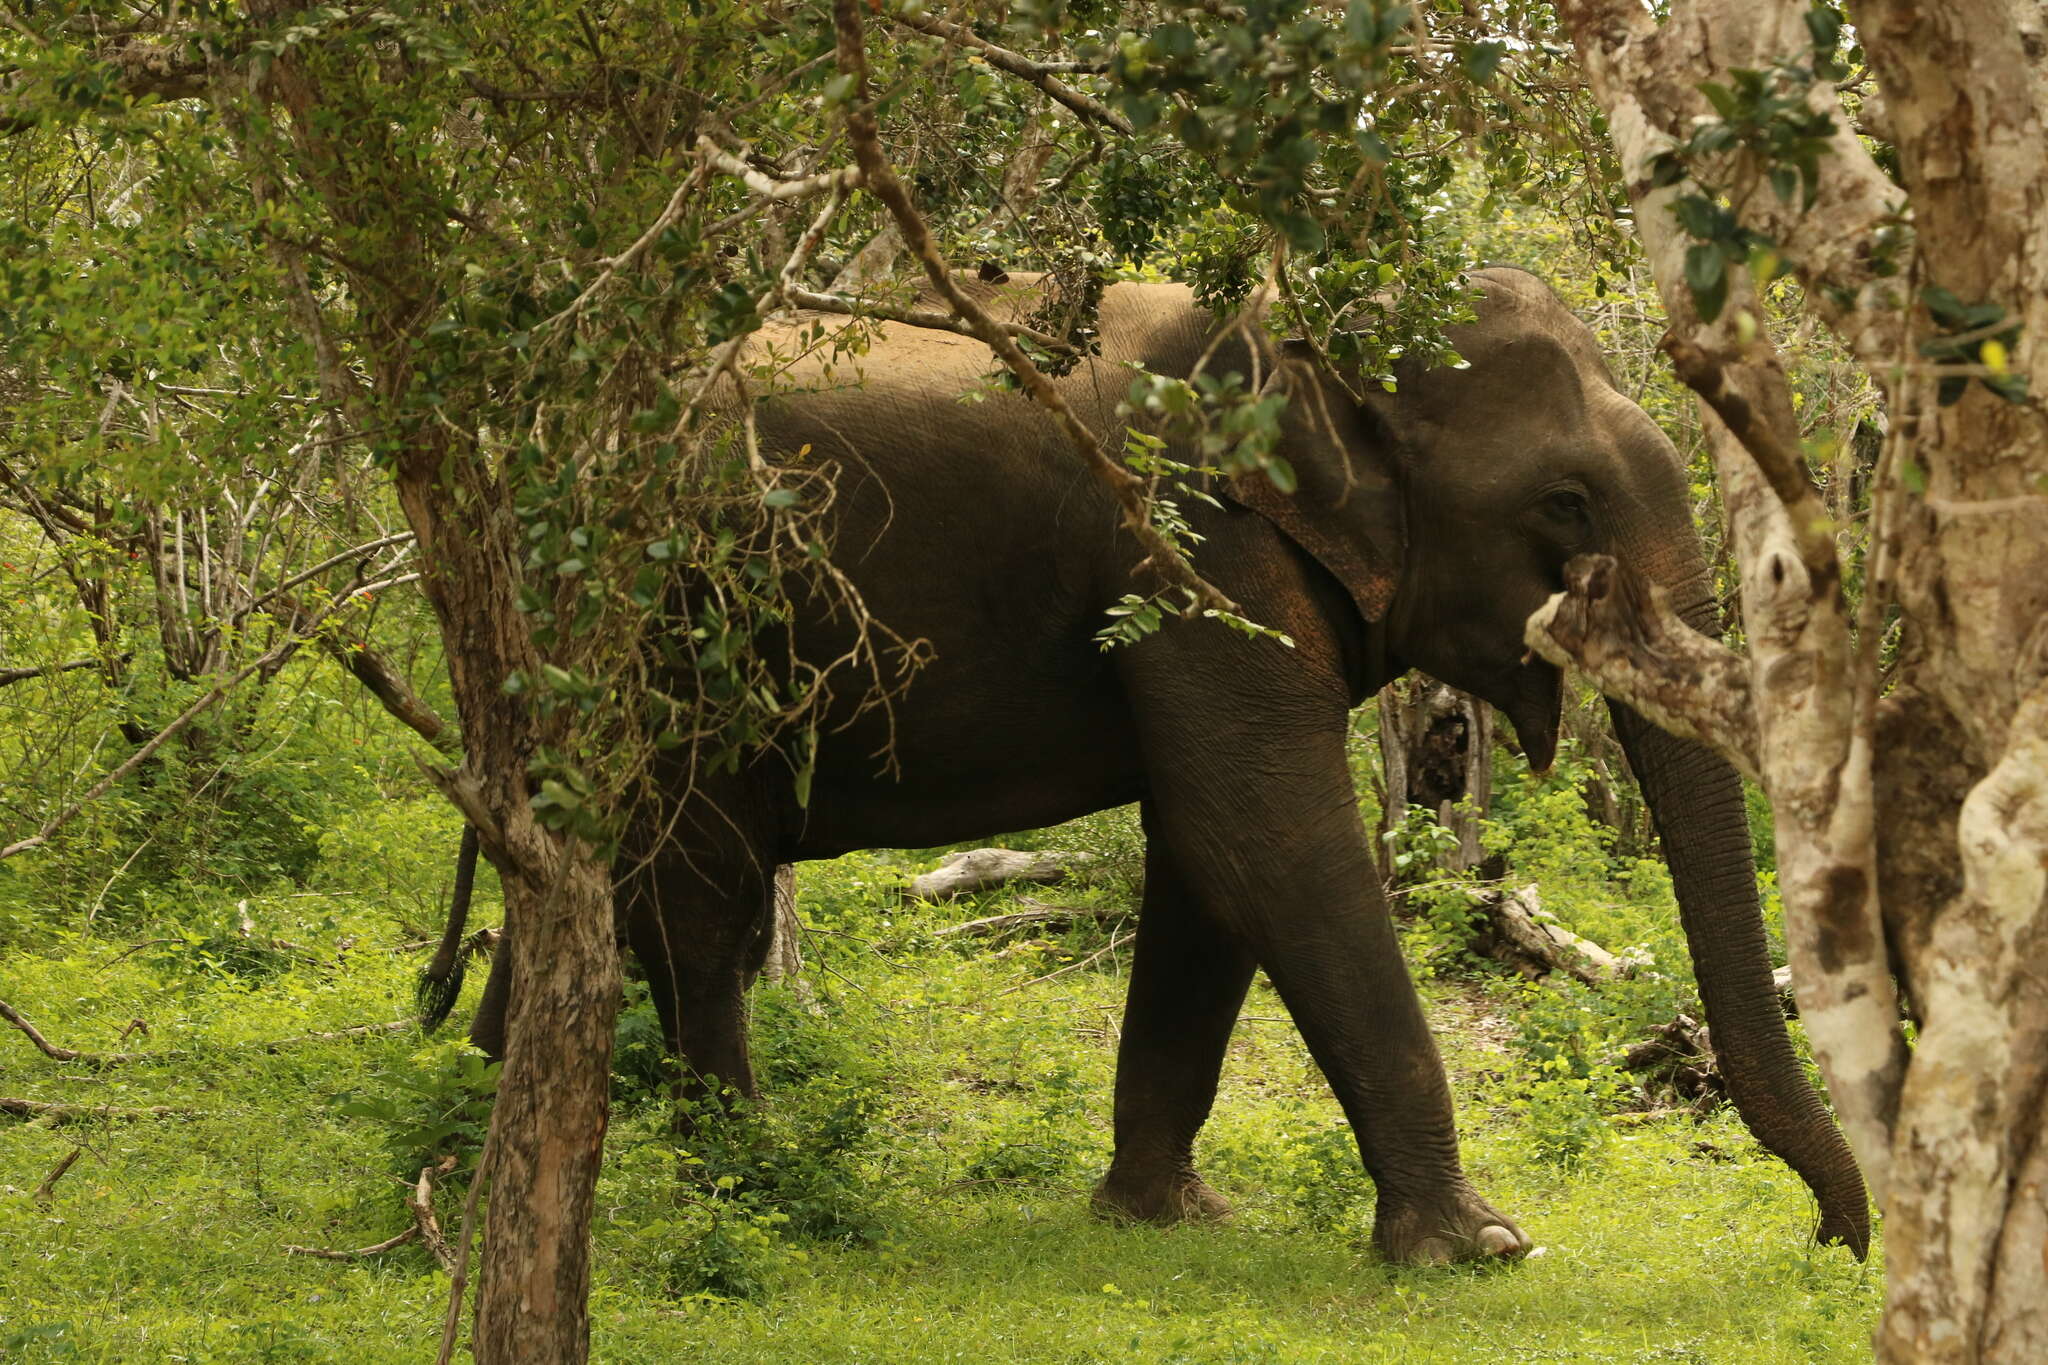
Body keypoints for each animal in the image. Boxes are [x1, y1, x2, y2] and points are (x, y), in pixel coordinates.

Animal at [432, 270, 1875, 1268]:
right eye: (1564, 504)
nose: (1831, 1242)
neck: (1294, 319)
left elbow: (1206, 853)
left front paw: (1164, 1216)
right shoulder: (1186, 545)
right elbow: (1262, 833)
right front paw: (1483, 1248)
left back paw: (487, 1108)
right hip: (681, 635)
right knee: (696, 887)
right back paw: (740, 1176)